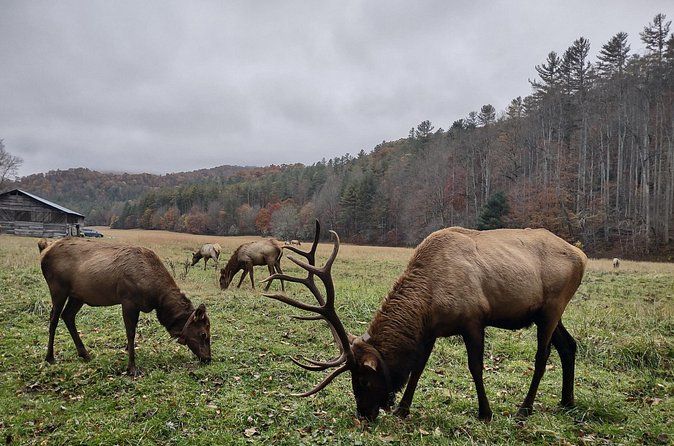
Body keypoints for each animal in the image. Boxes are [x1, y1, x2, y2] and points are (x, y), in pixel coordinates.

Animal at [40, 237, 212, 376]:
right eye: (203, 334)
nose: (208, 359)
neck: (156, 297)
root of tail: (44, 250)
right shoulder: (128, 300)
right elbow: (131, 333)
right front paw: (132, 368)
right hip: (58, 287)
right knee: (54, 318)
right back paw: (50, 357)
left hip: (78, 295)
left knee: (68, 315)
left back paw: (85, 354)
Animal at [262, 220, 587, 421]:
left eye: (363, 379)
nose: (364, 414)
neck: (428, 302)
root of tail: (581, 255)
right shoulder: (430, 330)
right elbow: (417, 368)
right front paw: (403, 409)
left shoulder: (474, 319)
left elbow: (475, 367)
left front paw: (485, 412)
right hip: (548, 312)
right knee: (568, 345)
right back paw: (567, 401)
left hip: (553, 306)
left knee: (543, 355)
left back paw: (524, 408)